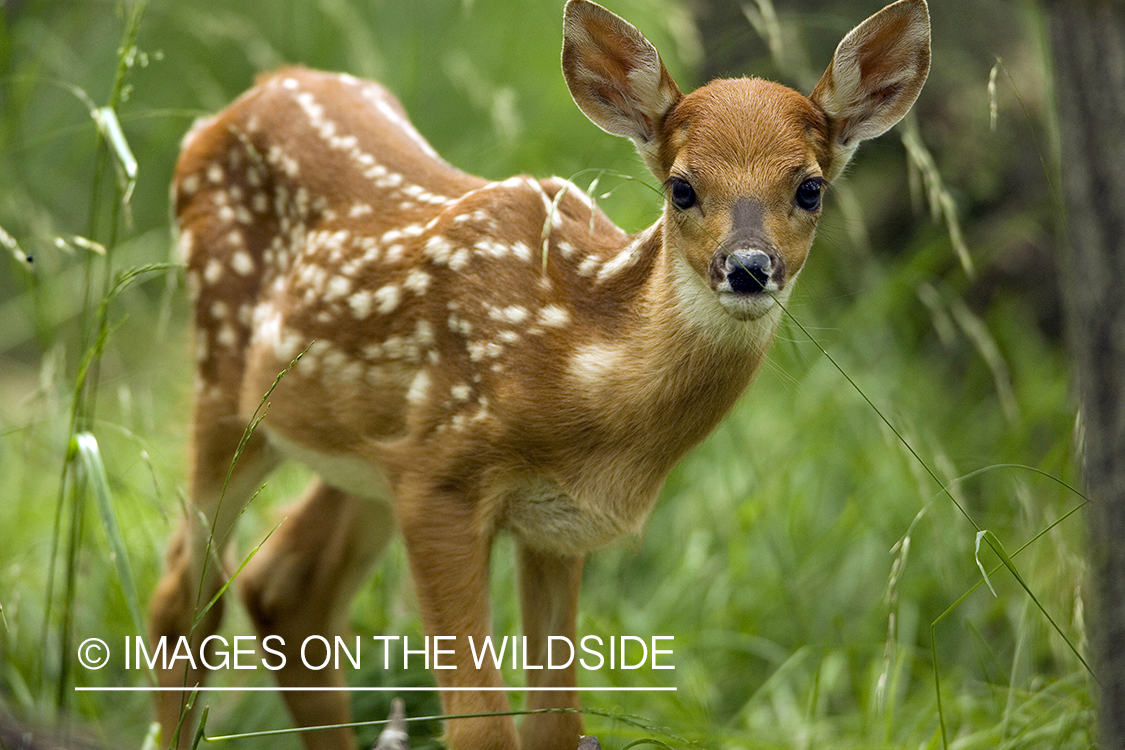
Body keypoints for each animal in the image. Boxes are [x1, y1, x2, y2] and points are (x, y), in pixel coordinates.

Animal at [149, 0, 931, 746]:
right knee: (181, 593)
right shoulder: (440, 481)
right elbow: (484, 729)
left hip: (357, 446)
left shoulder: (557, 522)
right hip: (225, 380)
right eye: (681, 188)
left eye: (810, 188)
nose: (746, 268)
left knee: (285, 588)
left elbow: (555, 725)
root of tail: (243, 99)